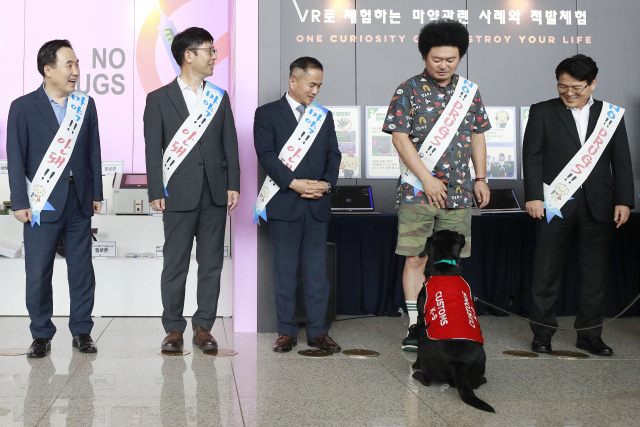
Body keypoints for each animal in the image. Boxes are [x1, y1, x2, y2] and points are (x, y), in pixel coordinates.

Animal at [410, 231, 496, 414]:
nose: (463, 234)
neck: (444, 263)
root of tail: (458, 363)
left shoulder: (421, 319)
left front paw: (415, 365)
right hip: (481, 358)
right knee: (473, 383)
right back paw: (482, 379)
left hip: (427, 348)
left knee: (427, 379)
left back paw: (418, 375)